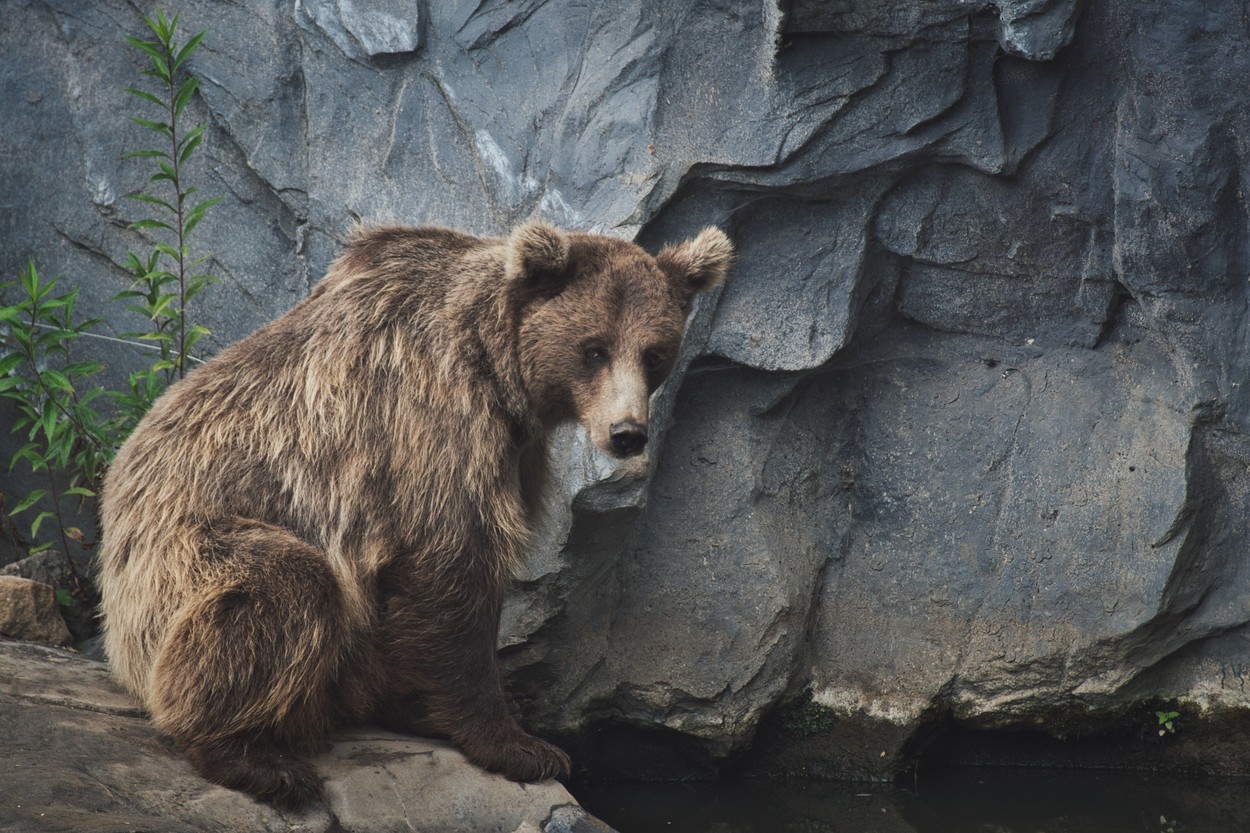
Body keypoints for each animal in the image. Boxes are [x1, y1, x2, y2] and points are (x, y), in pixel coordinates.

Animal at [96, 220, 734, 810]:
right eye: (594, 348)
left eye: (654, 354)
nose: (628, 433)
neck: (499, 368)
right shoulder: (431, 425)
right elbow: (451, 572)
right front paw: (522, 746)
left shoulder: (514, 450)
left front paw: (464, 707)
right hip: (179, 559)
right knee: (284, 587)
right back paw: (255, 759)